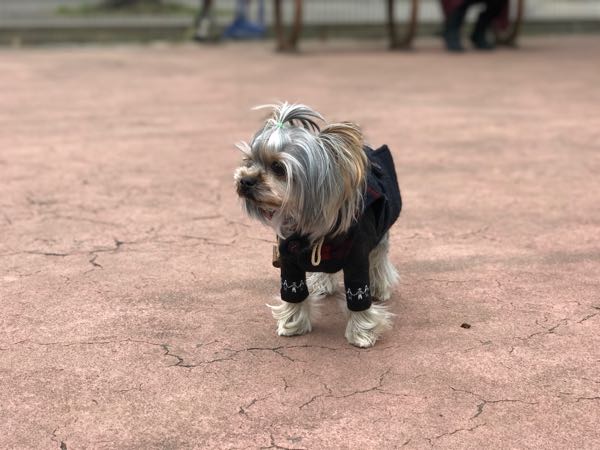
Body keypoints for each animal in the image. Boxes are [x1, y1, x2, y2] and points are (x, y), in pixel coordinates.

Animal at [234, 103, 404, 348]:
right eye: (248, 161)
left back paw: (380, 288)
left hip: (381, 230)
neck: (310, 224)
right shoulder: (288, 258)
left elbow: (359, 293)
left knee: (379, 257)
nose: (244, 180)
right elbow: (293, 290)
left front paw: (362, 334)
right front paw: (292, 325)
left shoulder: (357, 257)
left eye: (278, 167)